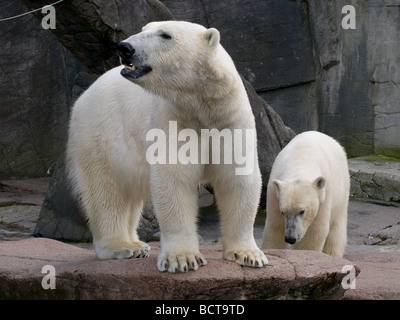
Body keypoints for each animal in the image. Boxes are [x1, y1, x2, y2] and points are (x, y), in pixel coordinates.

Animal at [67, 20, 268, 272]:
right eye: (144, 29)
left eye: (165, 35)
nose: (125, 48)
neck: (202, 106)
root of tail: (84, 95)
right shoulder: (173, 119)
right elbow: (175, 179)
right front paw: (183, 258)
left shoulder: (230, 120)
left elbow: (238, 179)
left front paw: (249, 255)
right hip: (100, 133)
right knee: (106, 191)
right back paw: (121, 247)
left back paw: (136, 244)